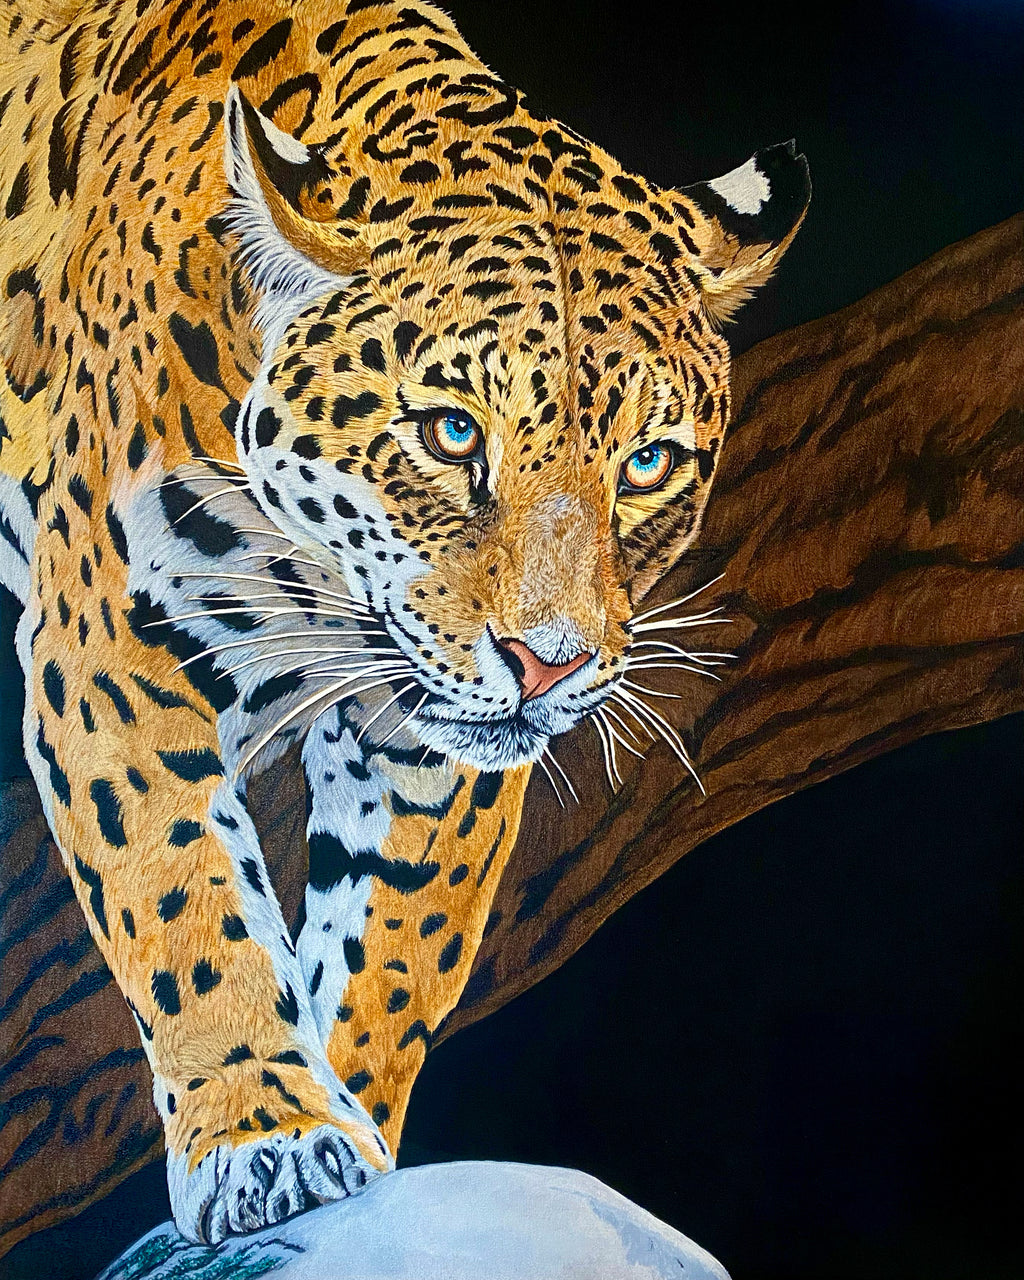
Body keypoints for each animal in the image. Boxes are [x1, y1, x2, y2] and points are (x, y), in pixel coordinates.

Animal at [0, 0, 809, 1246]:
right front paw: (264, 1129)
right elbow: (183, 892)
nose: (548, 665)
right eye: (450, 433)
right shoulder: (109, 652)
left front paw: (357, 1133)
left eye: (647, 462)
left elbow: (395, 942)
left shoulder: (432, 744)